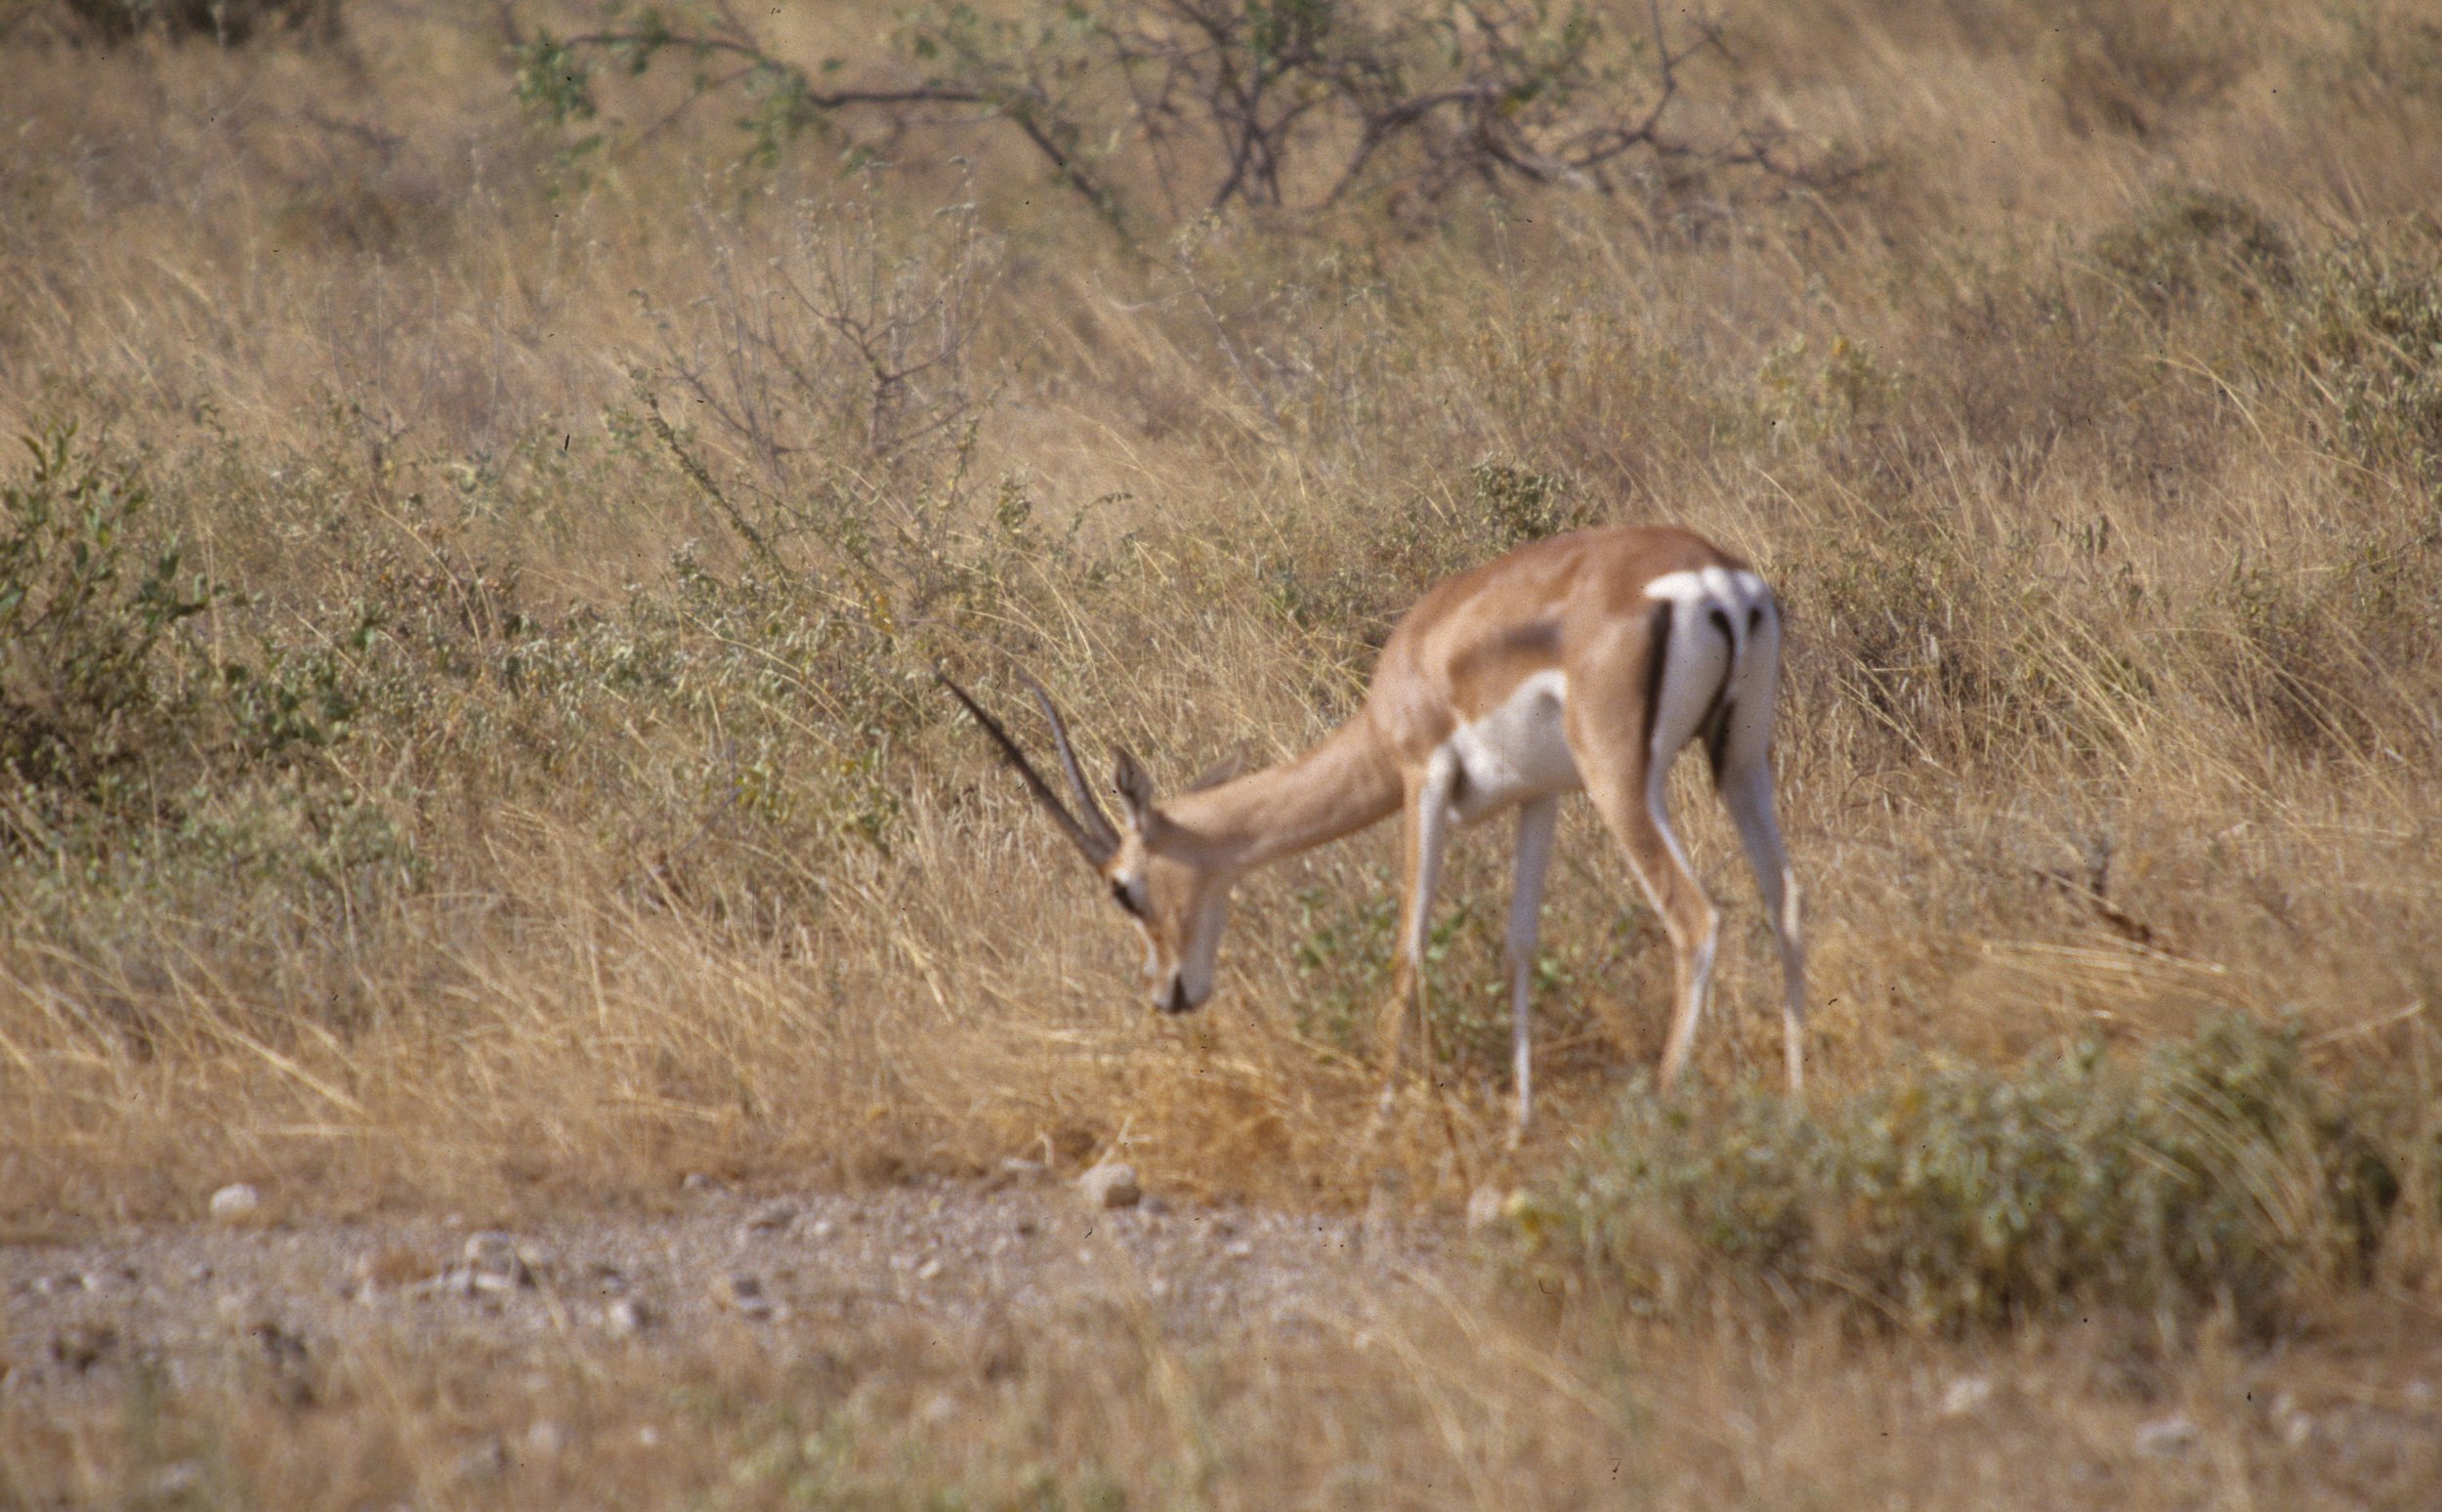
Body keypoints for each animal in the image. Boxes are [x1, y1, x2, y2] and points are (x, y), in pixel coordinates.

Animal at [941, 525, 1806, 1134]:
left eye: (1123, 890)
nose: (1168, 995)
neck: (1409, 670)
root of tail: (1713, 575)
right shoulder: (1542, 796)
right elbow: (1520, 944)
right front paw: (1519, 1121)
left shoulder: (1423, 781)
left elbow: (1407, 946)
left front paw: (1381, 1115)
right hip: (1742, 763)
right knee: (1787, 907)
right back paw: (1799, 1110)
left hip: (1623, 782)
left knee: (1697, 919)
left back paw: (1663, 1105)